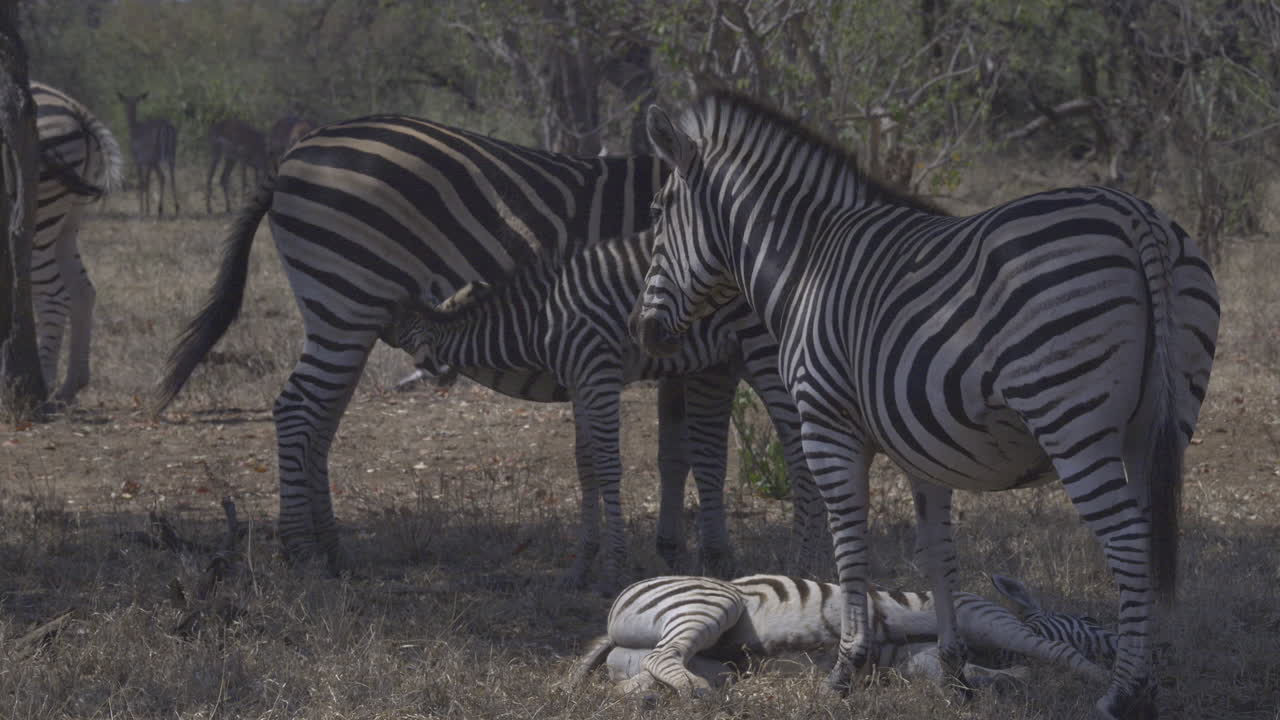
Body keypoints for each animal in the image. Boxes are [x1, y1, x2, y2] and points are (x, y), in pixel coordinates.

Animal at [29, 81, 124, 405]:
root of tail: (75, 109)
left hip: (40, 213)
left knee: (54, 296)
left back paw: (45, 384)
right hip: (67, 218)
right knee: (84, 290)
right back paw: (72, 384)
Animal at [153, 114, 667, 569]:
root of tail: (292, 154)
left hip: (344, 315)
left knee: (321, 417)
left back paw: (332, 550)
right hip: (345, 298)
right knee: (299, 409)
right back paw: (301, 550)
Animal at [383, 227, 822, 589]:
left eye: (399, 327)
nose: (379, 323)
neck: (538, 318)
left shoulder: (598, 373)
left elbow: (609, 465)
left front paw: (614, 570)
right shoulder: (578, 382)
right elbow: (586, 465)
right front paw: (581, 567)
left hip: (766, 354)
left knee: (802, 455)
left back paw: (802, 567)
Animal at [629, 92, 1219, 719]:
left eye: (658, 210)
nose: (645, 332)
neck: (808, 264)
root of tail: (1137, 217)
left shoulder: (825, 425)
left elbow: (851, 547)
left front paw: (847, 669)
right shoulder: (924, 449)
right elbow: (939, 555)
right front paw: (954, 670)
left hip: (1071, 421)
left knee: (1128, 542)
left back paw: (1124, 691)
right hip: (1162, 421)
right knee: (1148, 537)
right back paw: (1147, 677)